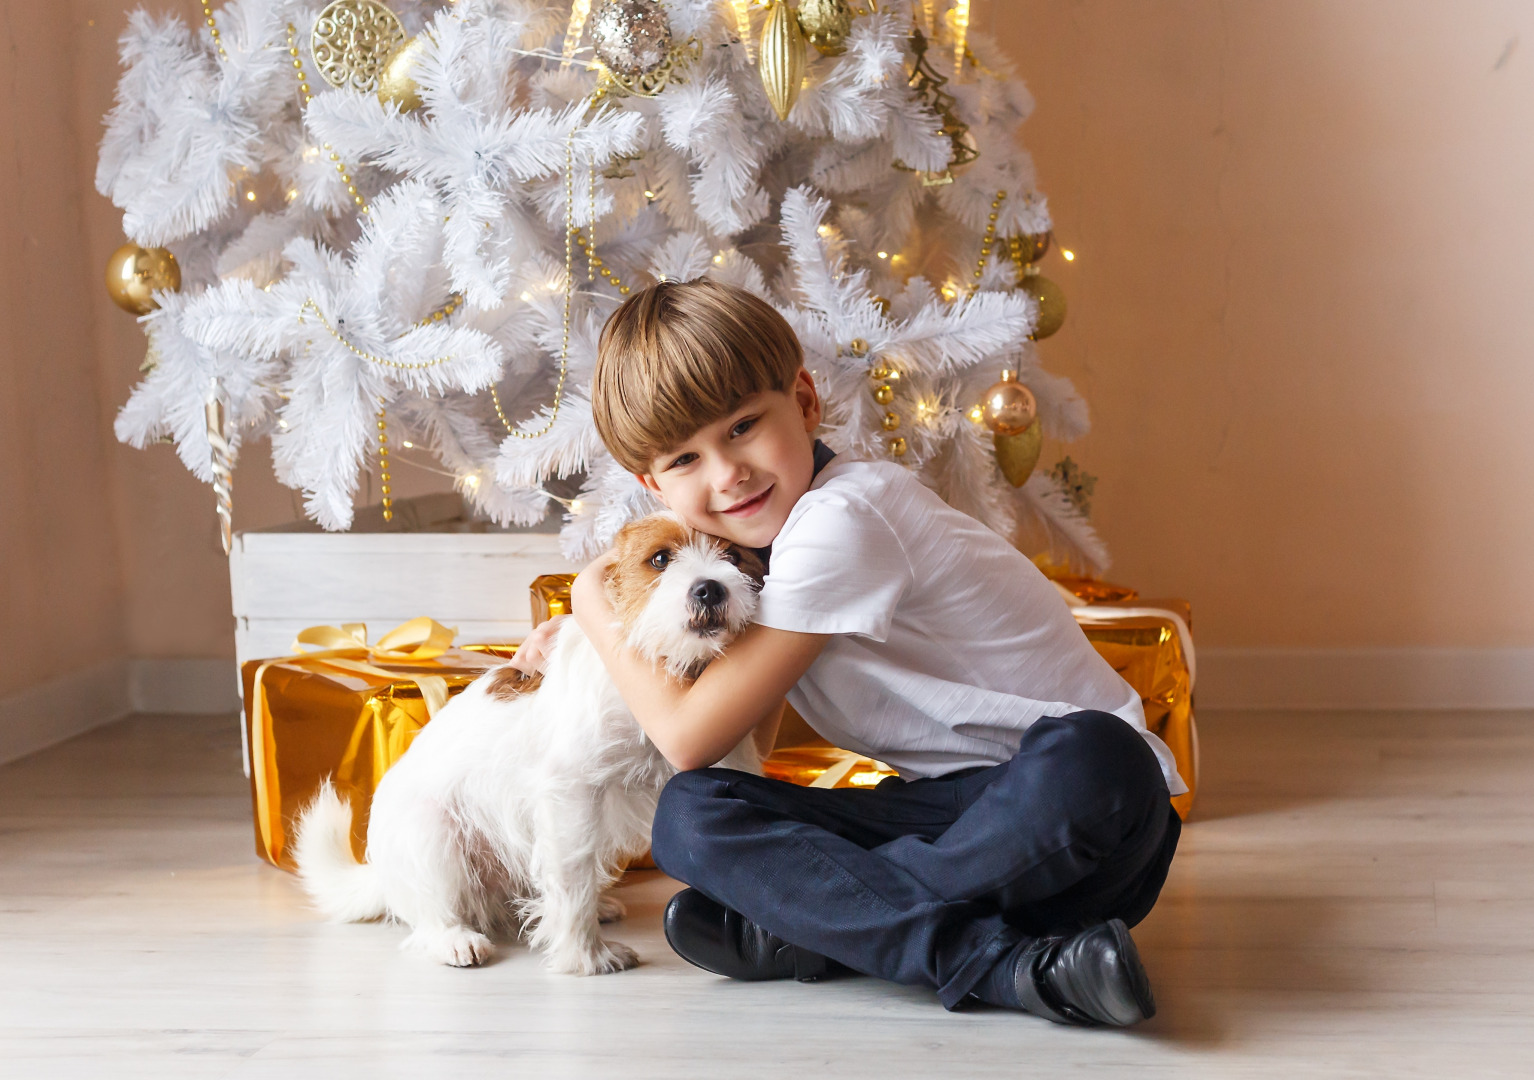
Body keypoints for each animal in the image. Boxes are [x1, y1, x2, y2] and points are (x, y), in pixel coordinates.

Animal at [289, 509, 763, 975]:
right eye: (661, 559)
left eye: (734, 556)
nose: (709, 588)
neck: (666, 666)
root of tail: (382, 876)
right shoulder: (571, 792)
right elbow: (573, 874)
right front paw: (586, 956)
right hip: (433, 836)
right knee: (432, 916)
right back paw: (455, 939)